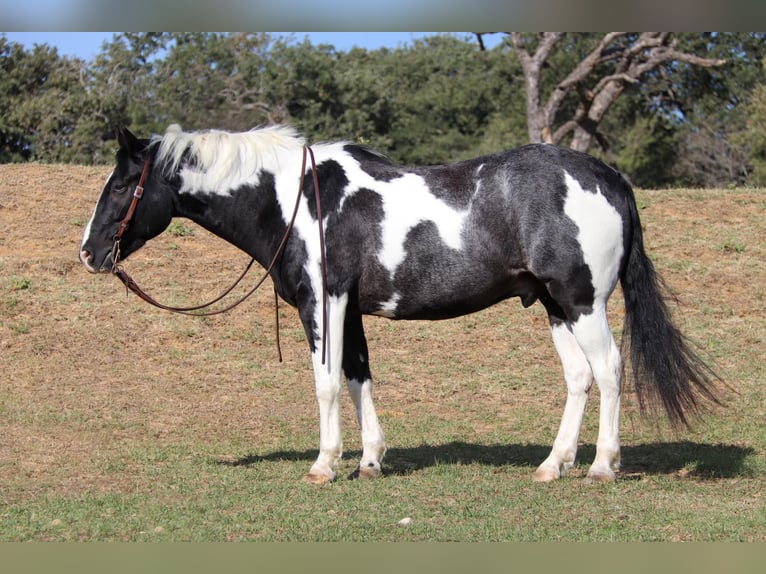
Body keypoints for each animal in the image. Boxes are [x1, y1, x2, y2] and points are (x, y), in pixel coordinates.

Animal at [78, 125, 720, 486]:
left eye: (121, 185)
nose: (89, 253)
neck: (296, 199)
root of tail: (608, 176)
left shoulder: (325, 304)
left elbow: (327, 383)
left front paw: (324, 465)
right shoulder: (351, 310)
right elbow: (359, 377)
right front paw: (369, 461)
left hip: (583, 301)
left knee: (609, 371)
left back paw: (601, 467)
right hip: (555, 305)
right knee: (580, 378)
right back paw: (551, 466)